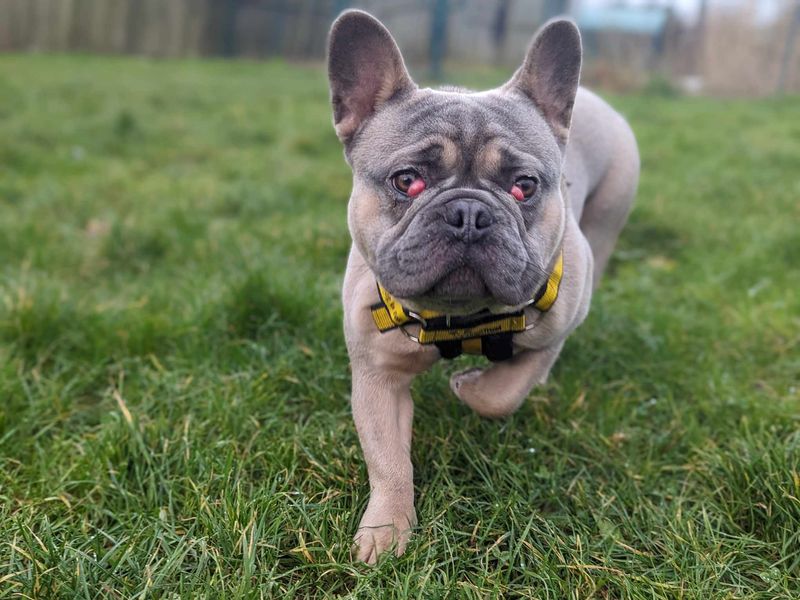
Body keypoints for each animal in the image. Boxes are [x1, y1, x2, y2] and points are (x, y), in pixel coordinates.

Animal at [324, 8, 636, 564]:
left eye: (524, 186)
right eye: (407, 180)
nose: (469, 214)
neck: (463, 317)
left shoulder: (556, 326)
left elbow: (505, 391)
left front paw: (470, 386)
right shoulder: (378, 377)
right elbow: (387, 458)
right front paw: (386, 531)